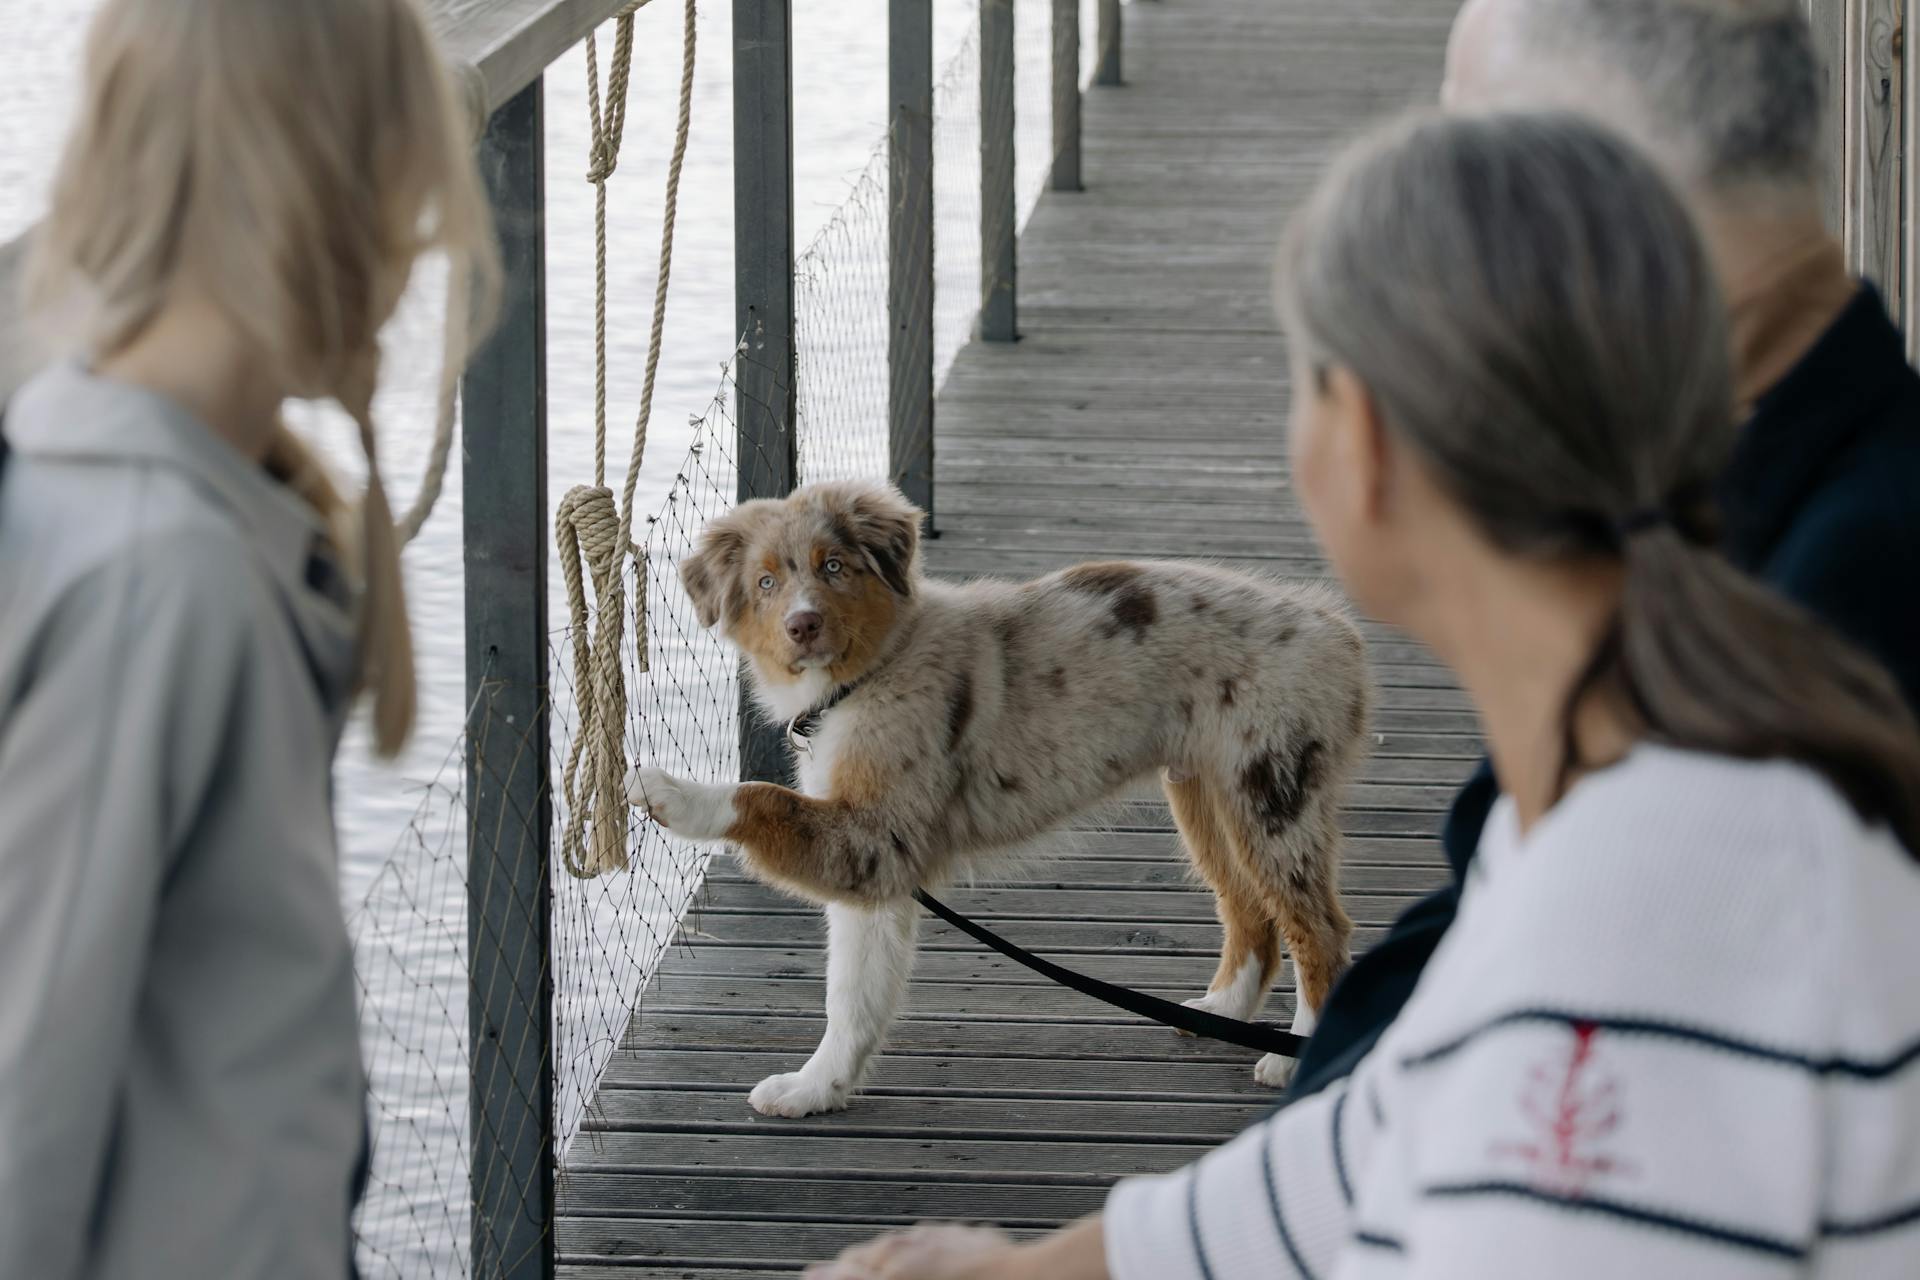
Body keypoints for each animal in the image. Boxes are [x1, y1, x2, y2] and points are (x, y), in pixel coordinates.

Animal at [629, 483, 1367, 1120]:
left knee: (1320, 930)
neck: (872, 672)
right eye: (765, 583)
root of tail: (1337, 630)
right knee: (1249, 911)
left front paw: (669, 792)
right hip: (1207, 793)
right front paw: (817, 1090)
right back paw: (1221, 1012)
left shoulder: (877, 839)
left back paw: (1295, 1056)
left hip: (1273, 793)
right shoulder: (876, 869)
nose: (802, 625)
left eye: (833, 566)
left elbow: (759, 798)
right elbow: (853, 994)